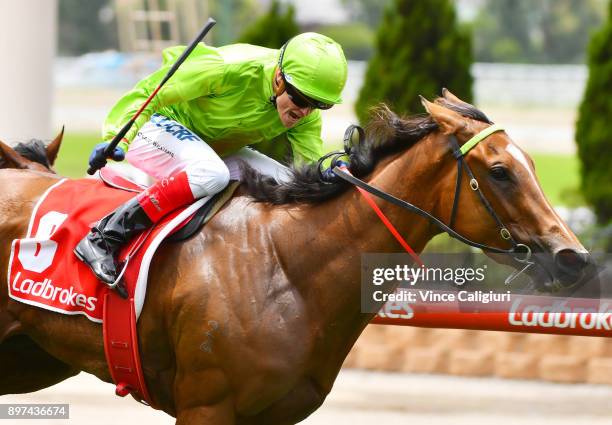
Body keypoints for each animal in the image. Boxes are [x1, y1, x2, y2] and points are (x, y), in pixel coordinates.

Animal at [1, 91, 592, 422]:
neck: (286, 269)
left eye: (530, 162)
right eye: (500, 170)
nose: (573, 258)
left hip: (32, 359)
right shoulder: (205, 407)